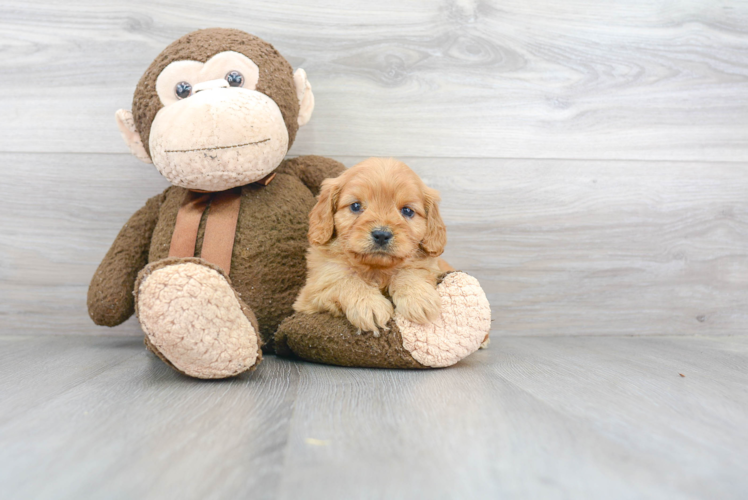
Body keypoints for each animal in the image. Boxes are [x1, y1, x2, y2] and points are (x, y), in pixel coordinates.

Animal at [296, 158, 452, 334]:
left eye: (407, 211)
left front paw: (418, 297)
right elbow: (345, 279)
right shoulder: (312, 293)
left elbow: (411, 270)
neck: (376, 269)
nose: (382, 235)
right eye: (356, 206)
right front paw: (369, 305)